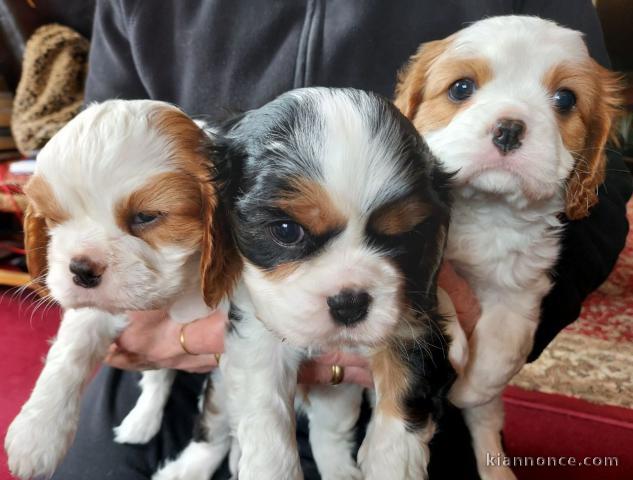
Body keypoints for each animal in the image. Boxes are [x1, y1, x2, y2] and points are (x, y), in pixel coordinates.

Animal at [4, 100, 239, 480]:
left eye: (146, 217)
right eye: (55, 219)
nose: (82, 270)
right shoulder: (99, 310)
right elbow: (71, 348)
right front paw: (38, 433)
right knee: (159, 378)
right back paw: (141, 420)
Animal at [207, 87, 460, 480]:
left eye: (401, 238)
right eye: (286, 231)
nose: (349, 304)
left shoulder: (415, 313)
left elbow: (407, 380)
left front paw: (393, 462)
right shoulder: (255, 323)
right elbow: (263, 401)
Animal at [392, 15, 620, 480]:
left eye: (565, 99)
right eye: (461, 88)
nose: (510, 128)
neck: (488, 208)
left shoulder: (522, 285)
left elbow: (504, 341)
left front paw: (470, 386)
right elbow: (439, 284)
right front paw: (456, 343)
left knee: (487, 426)